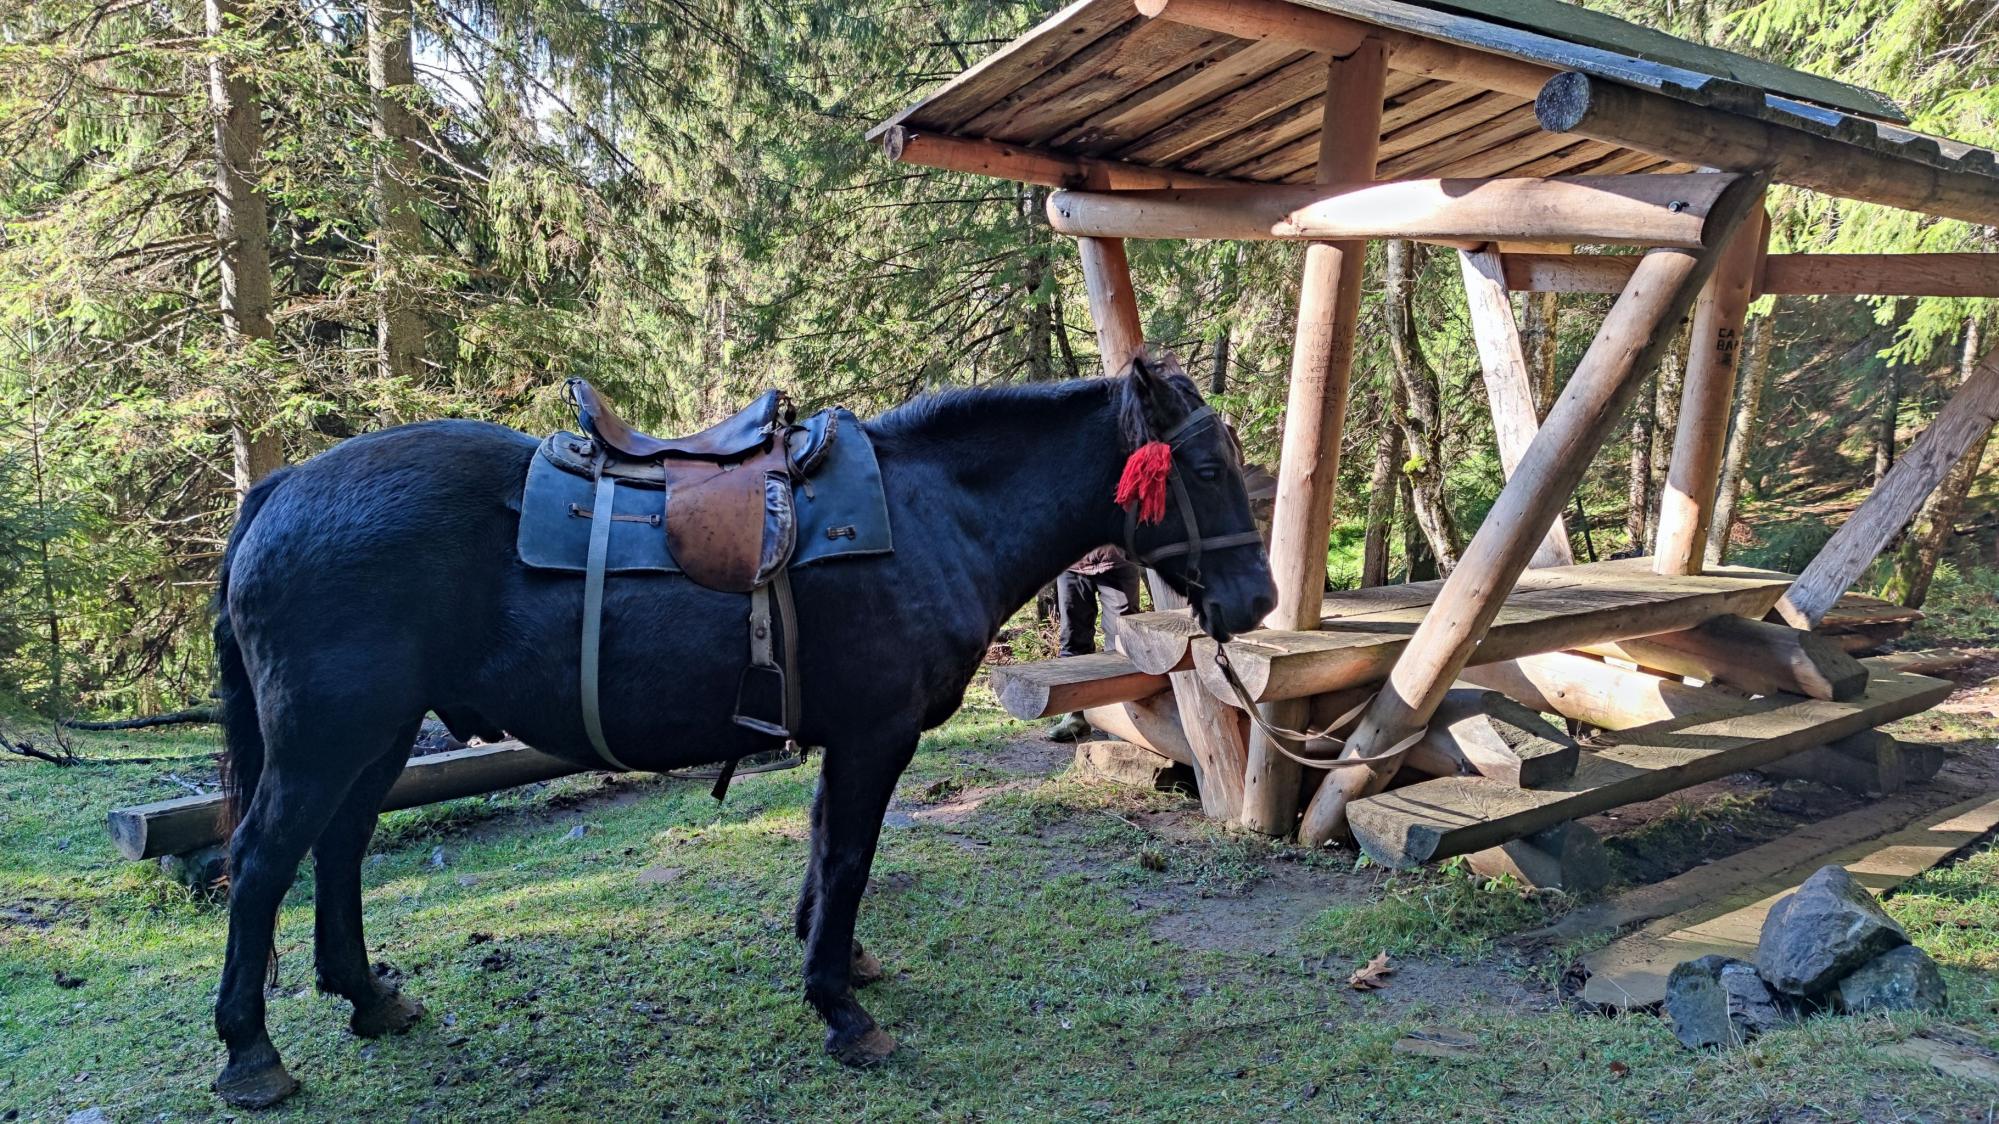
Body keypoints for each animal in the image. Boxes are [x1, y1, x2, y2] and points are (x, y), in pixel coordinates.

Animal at [210, 356, 1271, 1104]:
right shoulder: (876, 734)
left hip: (377, 734)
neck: (931, 514)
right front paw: (840, 1007)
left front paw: (838, 962)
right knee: (263, 863)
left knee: (339, 849)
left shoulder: (846, 735)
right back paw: (251, 1052)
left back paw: (367, 997)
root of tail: (283, 488)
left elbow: (823, 847)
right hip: (325, 737)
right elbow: (848, 856)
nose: (1257, 601)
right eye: (1205, 467)